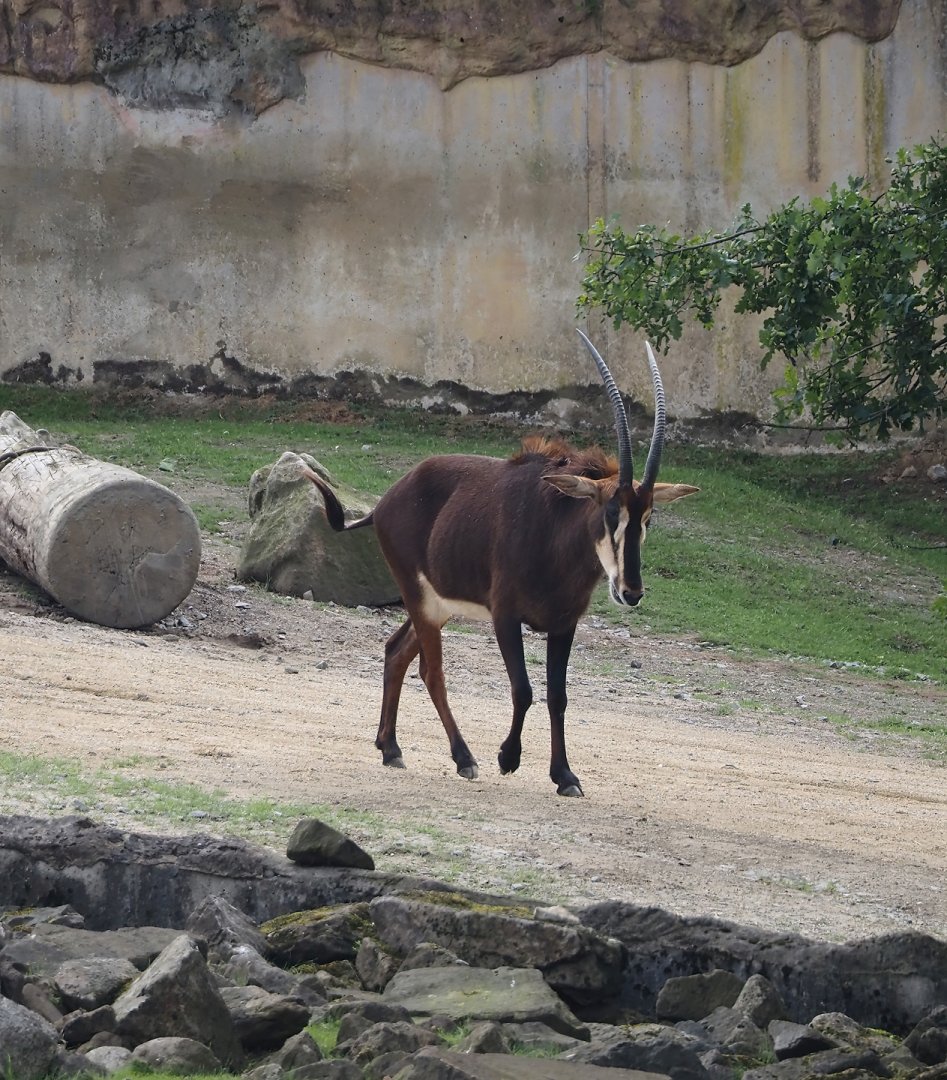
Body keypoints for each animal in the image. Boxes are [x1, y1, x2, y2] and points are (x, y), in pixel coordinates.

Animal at [302, 331, 698, 796]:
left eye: (648, 517)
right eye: (610, 512)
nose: (630, 592)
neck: (554, 532)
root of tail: (384, 503)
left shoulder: (564, 625)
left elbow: (558, 695)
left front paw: (565, 776)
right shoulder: (505, 617)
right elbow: (523, 689)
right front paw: (508, 758)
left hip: (436, 606)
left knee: (396, 652)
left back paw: (391, 748)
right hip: (420, 600)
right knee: (432, 671)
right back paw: (463, 758)